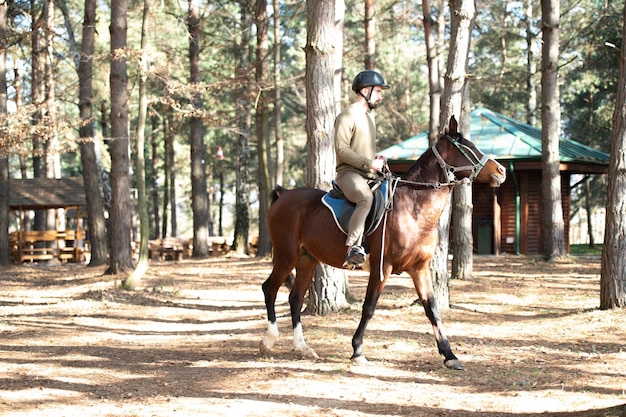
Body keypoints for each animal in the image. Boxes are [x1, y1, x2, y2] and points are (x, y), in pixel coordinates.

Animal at [256, 116, 504, 368]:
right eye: (467, 147)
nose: (500, 170)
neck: (413, 207)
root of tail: (285, 194)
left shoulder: (420, 269)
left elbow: (432, 309)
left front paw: (449, 355)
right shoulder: (381, 268)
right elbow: (369, 308)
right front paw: (357, 350)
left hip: (307, 259)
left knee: (295, 298)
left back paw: (303, 347)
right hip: (287, 256)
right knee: (270, 289)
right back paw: (269, 340)